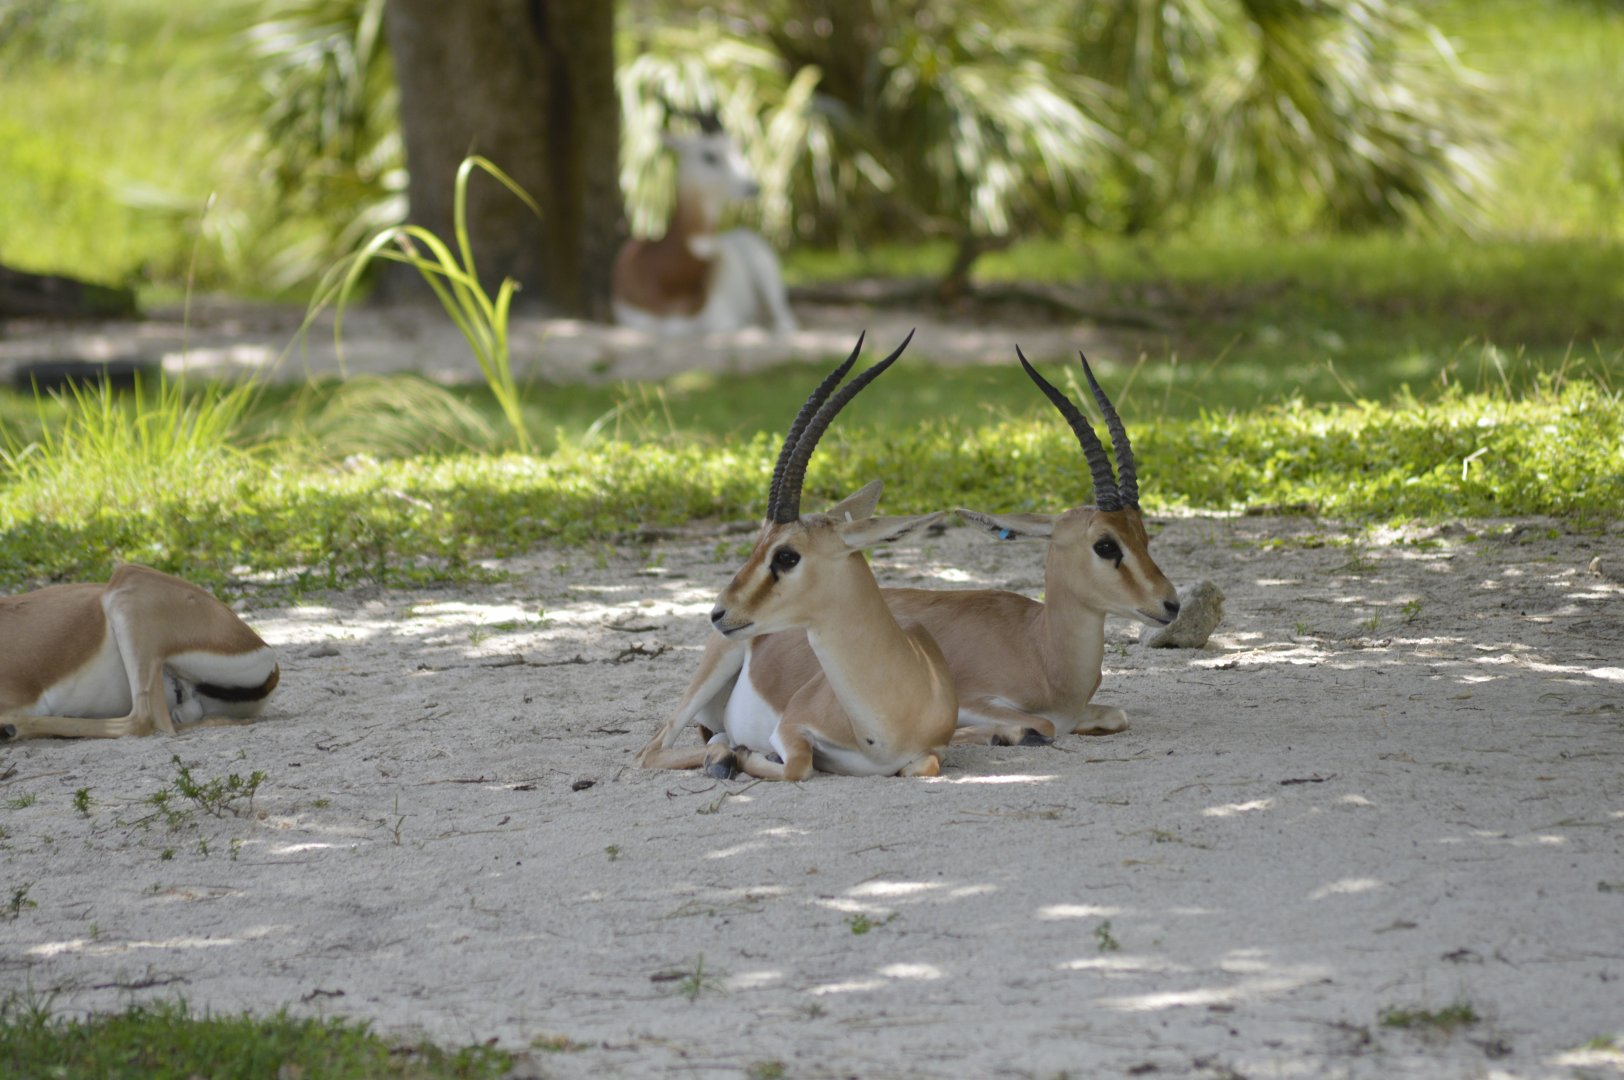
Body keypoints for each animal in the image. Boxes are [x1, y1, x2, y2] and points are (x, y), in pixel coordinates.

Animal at [611, 108, 798, 335]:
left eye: (738, 150)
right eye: (709, 156)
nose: (753, 187)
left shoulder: (723, 320)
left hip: (765, 270)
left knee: (785, 319)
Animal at [637, 332, 957, 780]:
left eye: (787, 556)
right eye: (759, 541)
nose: (719, 612)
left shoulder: (930, 753)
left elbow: (923, 765)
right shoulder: (790, 728)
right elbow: (798, 766)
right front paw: (747, 755)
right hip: (716, 663)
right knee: (652, 749)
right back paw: (723, 755)